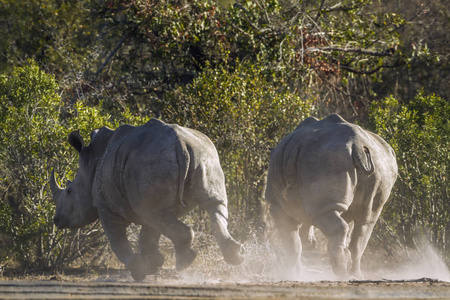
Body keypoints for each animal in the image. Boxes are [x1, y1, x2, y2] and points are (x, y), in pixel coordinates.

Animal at [50, 118, 244, 280]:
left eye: (69, 191)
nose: (56, 220)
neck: (91, 163)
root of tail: (181, 144)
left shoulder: (105, 205)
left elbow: (117, 239)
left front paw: (139, 270)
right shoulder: (142, 198)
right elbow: (149, 233)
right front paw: (154, 264)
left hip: (149, 163)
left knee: (157, 217)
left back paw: (184, 263)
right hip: (203, 155)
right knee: (212, 205)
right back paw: (236, 255)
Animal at [268, 113, 398, 280]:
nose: (311, 243)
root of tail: (358, 145)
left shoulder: (277, 205)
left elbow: (292, 241)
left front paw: (292, 275)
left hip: (325, 158)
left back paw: (341, 271)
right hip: (380, 163)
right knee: (366, 221)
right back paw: (355, 275)